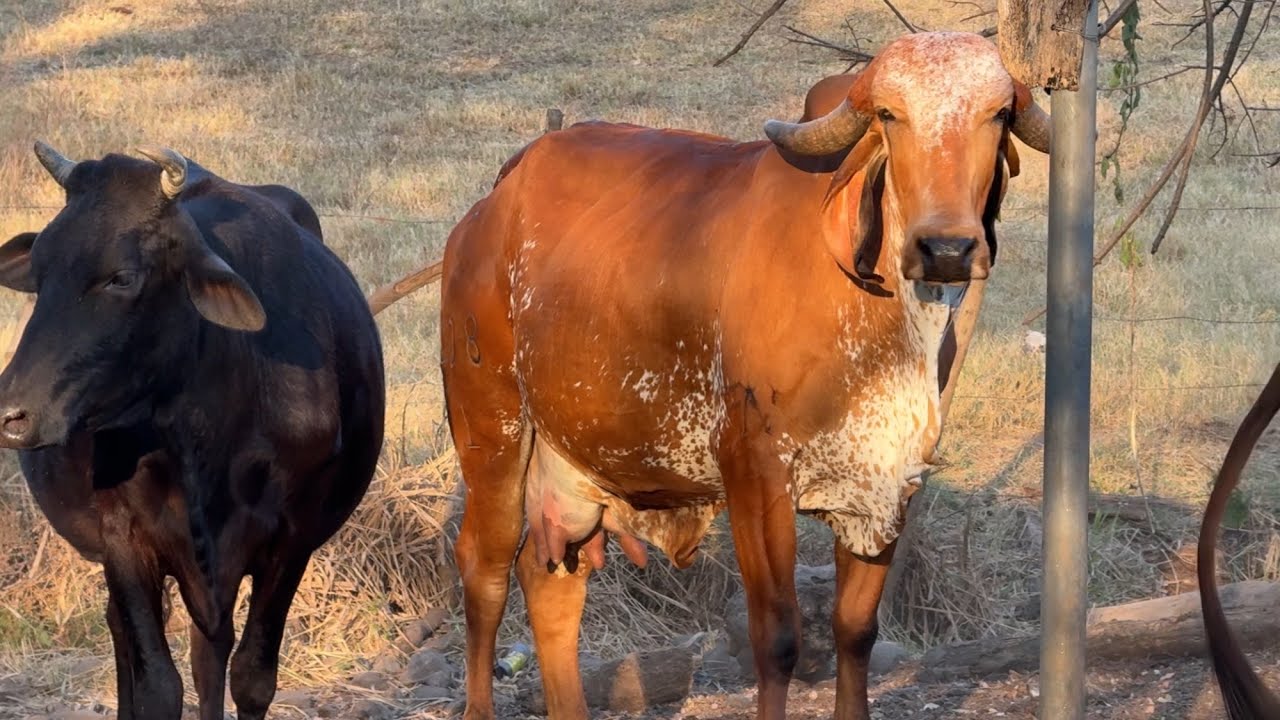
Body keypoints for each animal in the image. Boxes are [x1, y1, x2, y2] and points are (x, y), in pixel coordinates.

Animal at [0, 141, 386, 720]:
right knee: (129, 635)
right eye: (40, 272)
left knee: (210, 656)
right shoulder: (123, 537)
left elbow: (251, 677)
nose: (12, 415)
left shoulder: (292, 538)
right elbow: (158, 686)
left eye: (121, 276)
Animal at [439, 30, 1050, 720]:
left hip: (572, 468)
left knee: (552, 584)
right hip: (491, 433)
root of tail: (489, 207)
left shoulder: (890, 483)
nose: (947, 248)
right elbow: (777, 638)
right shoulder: (756, 474)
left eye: (997, 115)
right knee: (485, 572)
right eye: (891, 115)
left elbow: (855, 629)